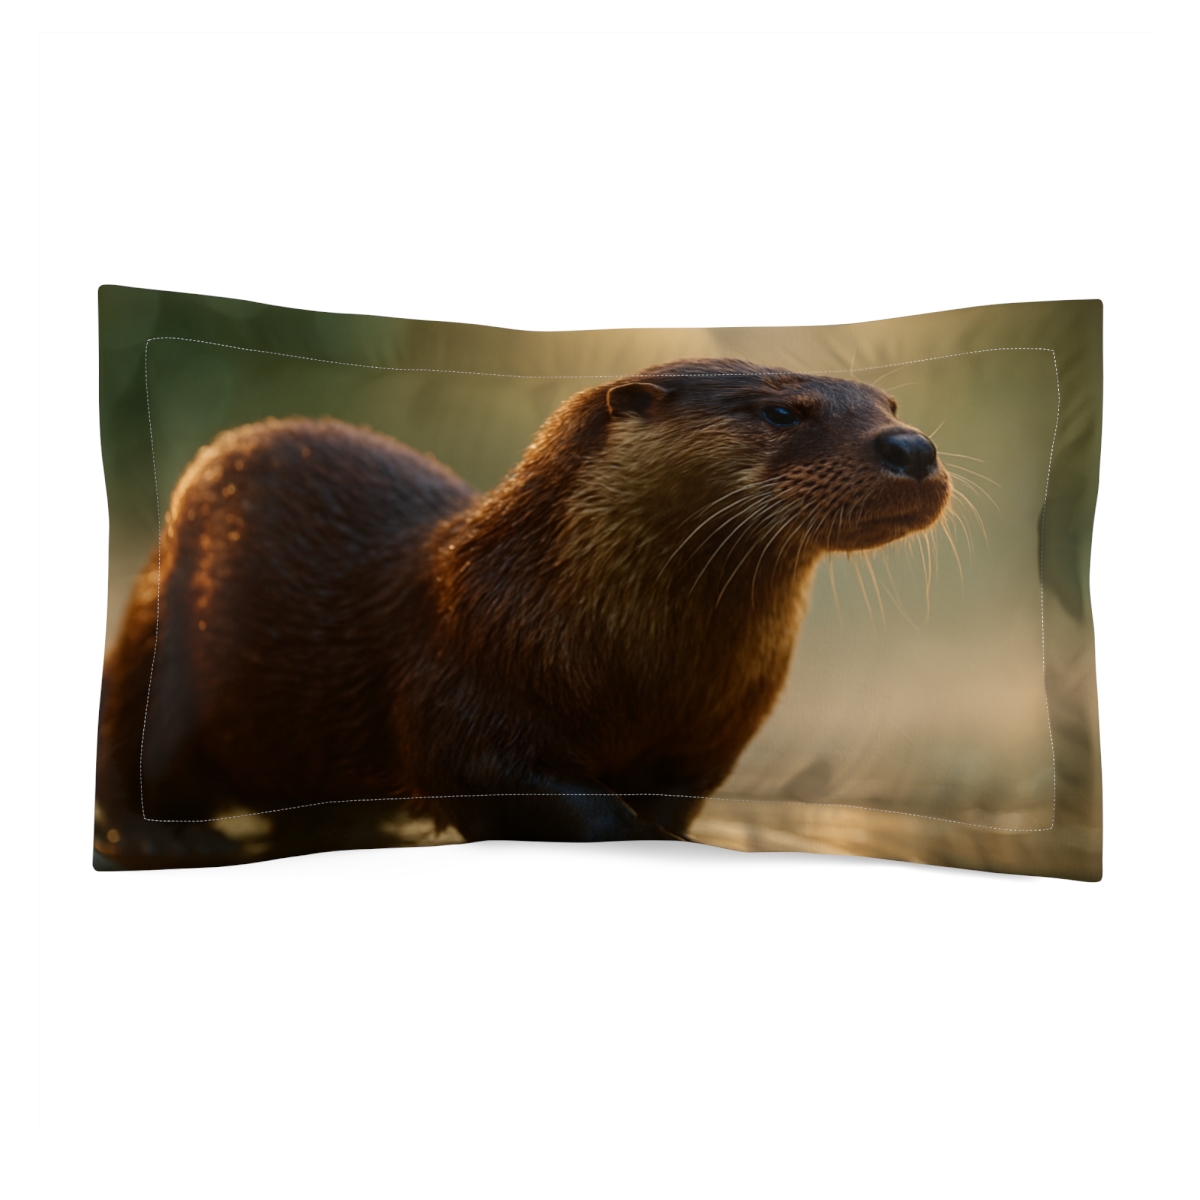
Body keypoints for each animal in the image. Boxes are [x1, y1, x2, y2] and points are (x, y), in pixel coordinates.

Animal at [95, 358, 950, 867]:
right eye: (782, 412)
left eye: (889, 402)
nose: (912, 446)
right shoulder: (465, 689)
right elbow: (541, 798)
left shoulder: (706, 742)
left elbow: (671, 808)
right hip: (159, 648)